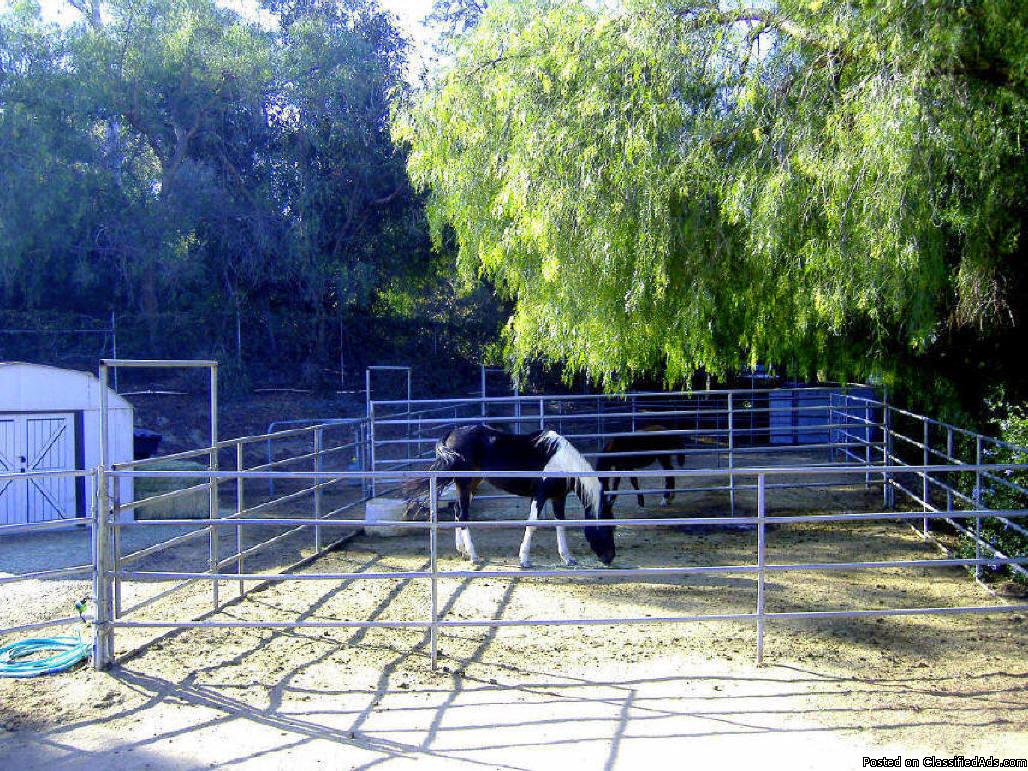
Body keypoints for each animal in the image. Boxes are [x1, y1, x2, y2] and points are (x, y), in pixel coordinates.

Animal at [400, 423, 612, 567]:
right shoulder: (540, 496)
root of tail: (451, 433)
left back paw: (462, 551)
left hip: (471, 484)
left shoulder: (558, 497)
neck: (562, 462)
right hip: (464, 483)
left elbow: (561, 525)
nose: (609, 558)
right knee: (463, 514)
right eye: (607, 529)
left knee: (458, 511)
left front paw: (567, 558)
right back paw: (474, 556)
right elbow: (532, 525)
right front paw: (524, 559)